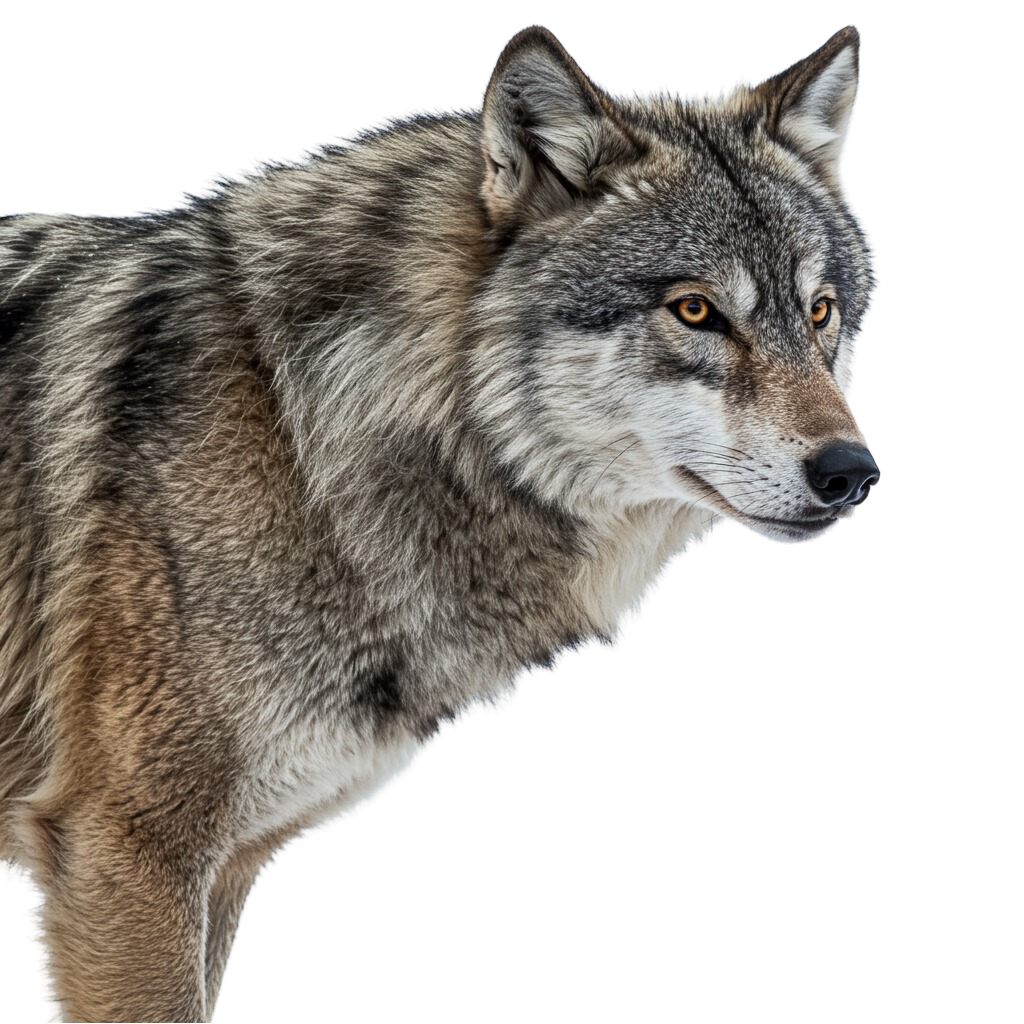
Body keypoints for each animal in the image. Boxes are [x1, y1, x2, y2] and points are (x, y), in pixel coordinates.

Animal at [0, 22, 880, 1021]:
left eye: (820, 312)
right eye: (695, 309)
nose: (852, 473)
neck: (304, 430)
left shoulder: (220, 874)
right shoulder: (125, 858)